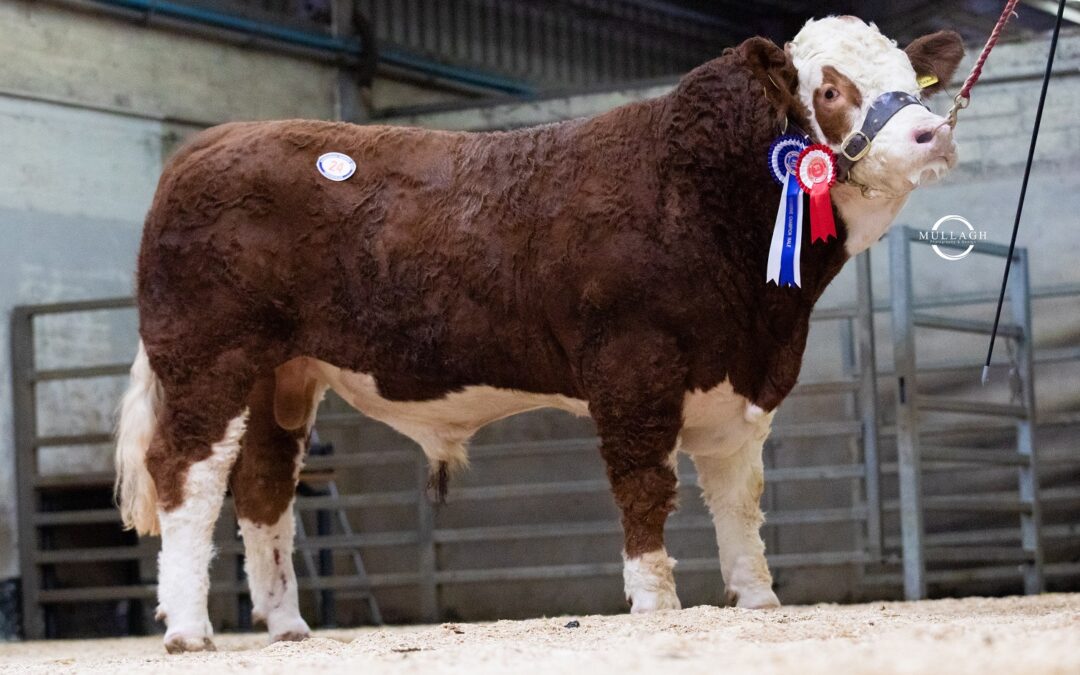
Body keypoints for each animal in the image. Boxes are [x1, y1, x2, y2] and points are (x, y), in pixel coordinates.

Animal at [116, 18, 963, 652]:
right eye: (831, 89)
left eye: (911, 78)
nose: (933, 132)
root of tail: (210, 143)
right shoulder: (632, 365)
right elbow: (645, 485)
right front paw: (655, 600)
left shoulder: (738, 380)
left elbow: (738, 498)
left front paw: (756, 598)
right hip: (209, 356)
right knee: (186, 473)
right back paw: (189, 628)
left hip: (283, 372)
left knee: (263, 483)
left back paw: (287, 623)